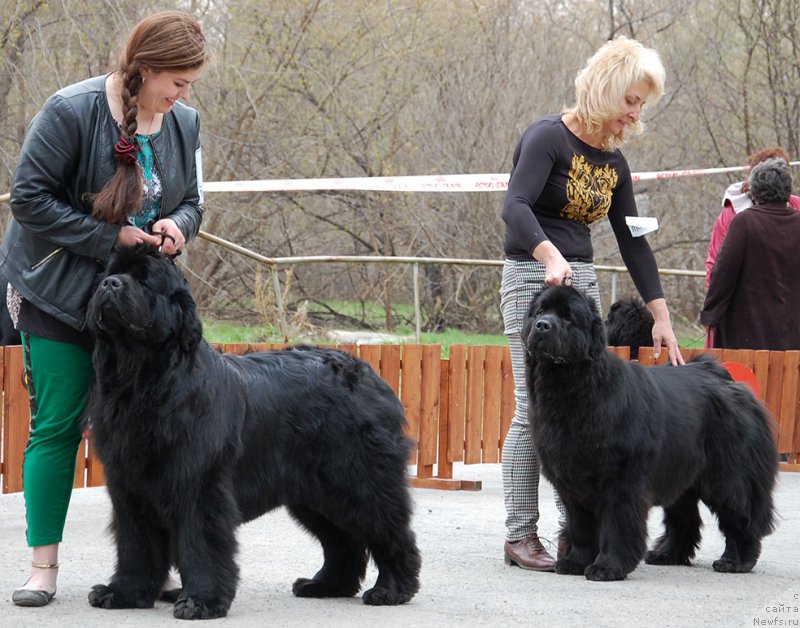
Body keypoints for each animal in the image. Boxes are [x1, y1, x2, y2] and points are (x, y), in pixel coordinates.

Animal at [86, 244, 422, 620]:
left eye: (144, 280)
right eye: (107, 274)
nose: (111, 284)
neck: (143, 380)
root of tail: (372, 376)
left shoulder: (199, 486)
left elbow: (199, 544)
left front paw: (200, 601)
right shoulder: (129, 488)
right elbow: (135, 545)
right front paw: (123, 593)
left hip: (359, 480)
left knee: (389, 531)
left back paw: (391, 589)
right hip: (315, 493)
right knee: (342, 541)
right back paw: (324, 585)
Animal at [520, 288, 780, 580]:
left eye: (568, 318)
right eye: (540, 312)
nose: (543, 325)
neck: (575, 389)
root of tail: (725, 380)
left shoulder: (621, 480)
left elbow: (617, 525)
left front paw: (607, 567)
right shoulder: (572, 483)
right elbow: (580, 527)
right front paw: (575, 561)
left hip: (730, 477)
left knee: (739, 517)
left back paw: (735, 561)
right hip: (681, 472)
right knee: (684, 518)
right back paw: (668, 554)